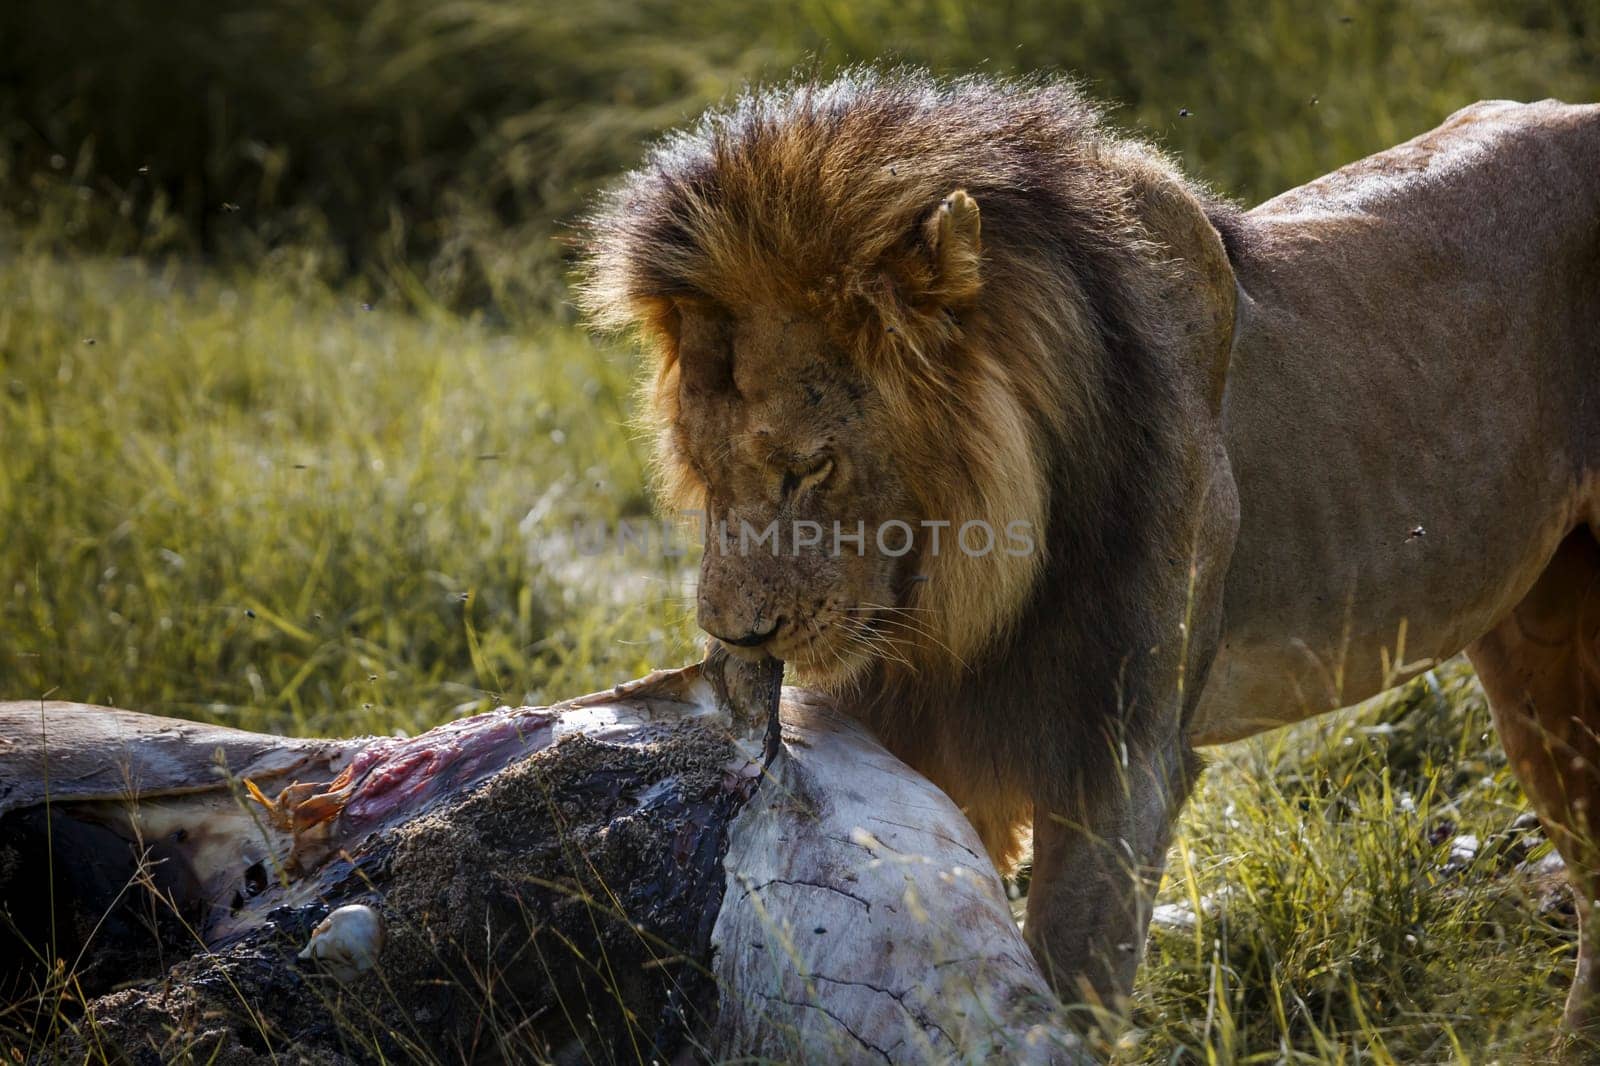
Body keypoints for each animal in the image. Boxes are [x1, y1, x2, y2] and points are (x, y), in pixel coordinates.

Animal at [588, 76, 1600, 1037]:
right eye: (702, 470)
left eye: (809, 468)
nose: (735, 639)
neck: (964, 601)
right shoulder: (922, 738)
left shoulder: (1126, 759)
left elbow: (1071, 969)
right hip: (1531, 647)